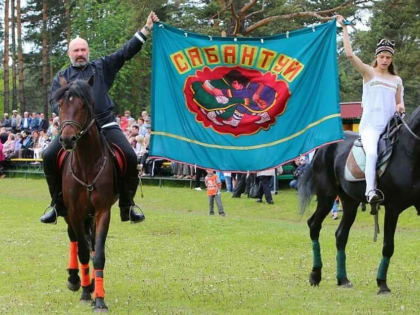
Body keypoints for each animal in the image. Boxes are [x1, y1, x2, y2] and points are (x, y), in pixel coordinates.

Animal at [53, 78, 118, 312]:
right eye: (60, 104)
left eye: (83, 105)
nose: (67, 139)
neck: (87, 164)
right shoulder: (74, 212)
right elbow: (81, 250)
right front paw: (85, 292)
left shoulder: (102, 211)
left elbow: (97, 254)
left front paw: (99, 299)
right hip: (67, 213)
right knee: (74, 239)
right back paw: (75, 279)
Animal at [296, 107, 420, 296]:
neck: (410, 152)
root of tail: (323, 147)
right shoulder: (393, 209)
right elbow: (388, 246)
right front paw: (382, 285)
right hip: (326, 197)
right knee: (314, 225)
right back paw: (315, 275)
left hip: (349, 203)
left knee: (341, 235)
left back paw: (343, 279)